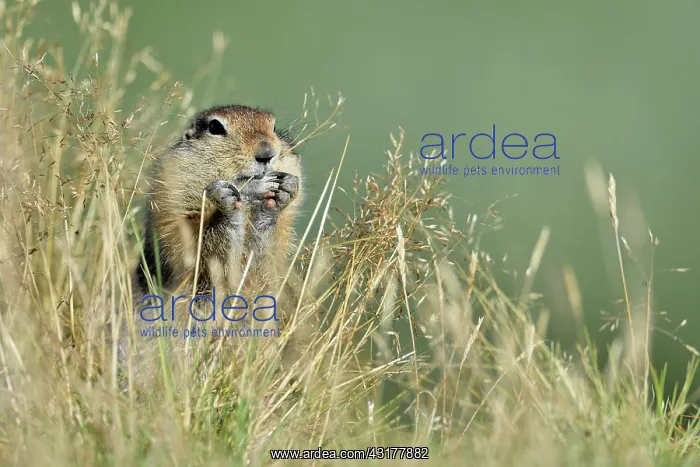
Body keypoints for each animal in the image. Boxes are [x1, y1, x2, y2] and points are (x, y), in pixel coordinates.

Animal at [134, 104, 302, 297]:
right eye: (215, 127)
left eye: (273, 126)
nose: (267, 153)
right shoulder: (171, 217)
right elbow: (198, 253)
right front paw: (225, 199)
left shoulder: (282, 234)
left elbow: (266, 263)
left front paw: (284, 190)